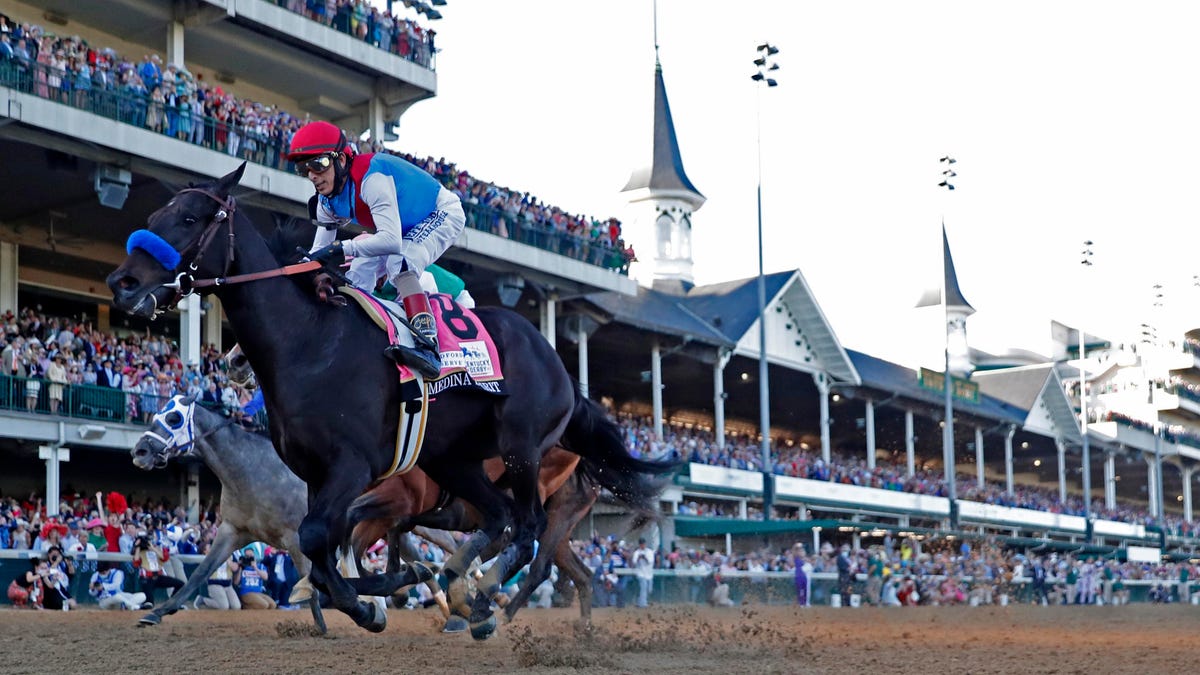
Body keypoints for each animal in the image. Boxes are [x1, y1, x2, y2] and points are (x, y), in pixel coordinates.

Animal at [108, 164, 681, 634]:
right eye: (156, 213)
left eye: (188, 217)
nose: (122, 281)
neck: (310, 342)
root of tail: (559, 363)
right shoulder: (315, 477)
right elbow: (323, 552)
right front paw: (376, 596)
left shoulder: (354, 468)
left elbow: (320, 541)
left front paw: (369, 605)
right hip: (453, 460)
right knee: (501, 519)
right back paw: (461, 586)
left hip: (522, 448)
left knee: (529, 529)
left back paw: (484, 594)